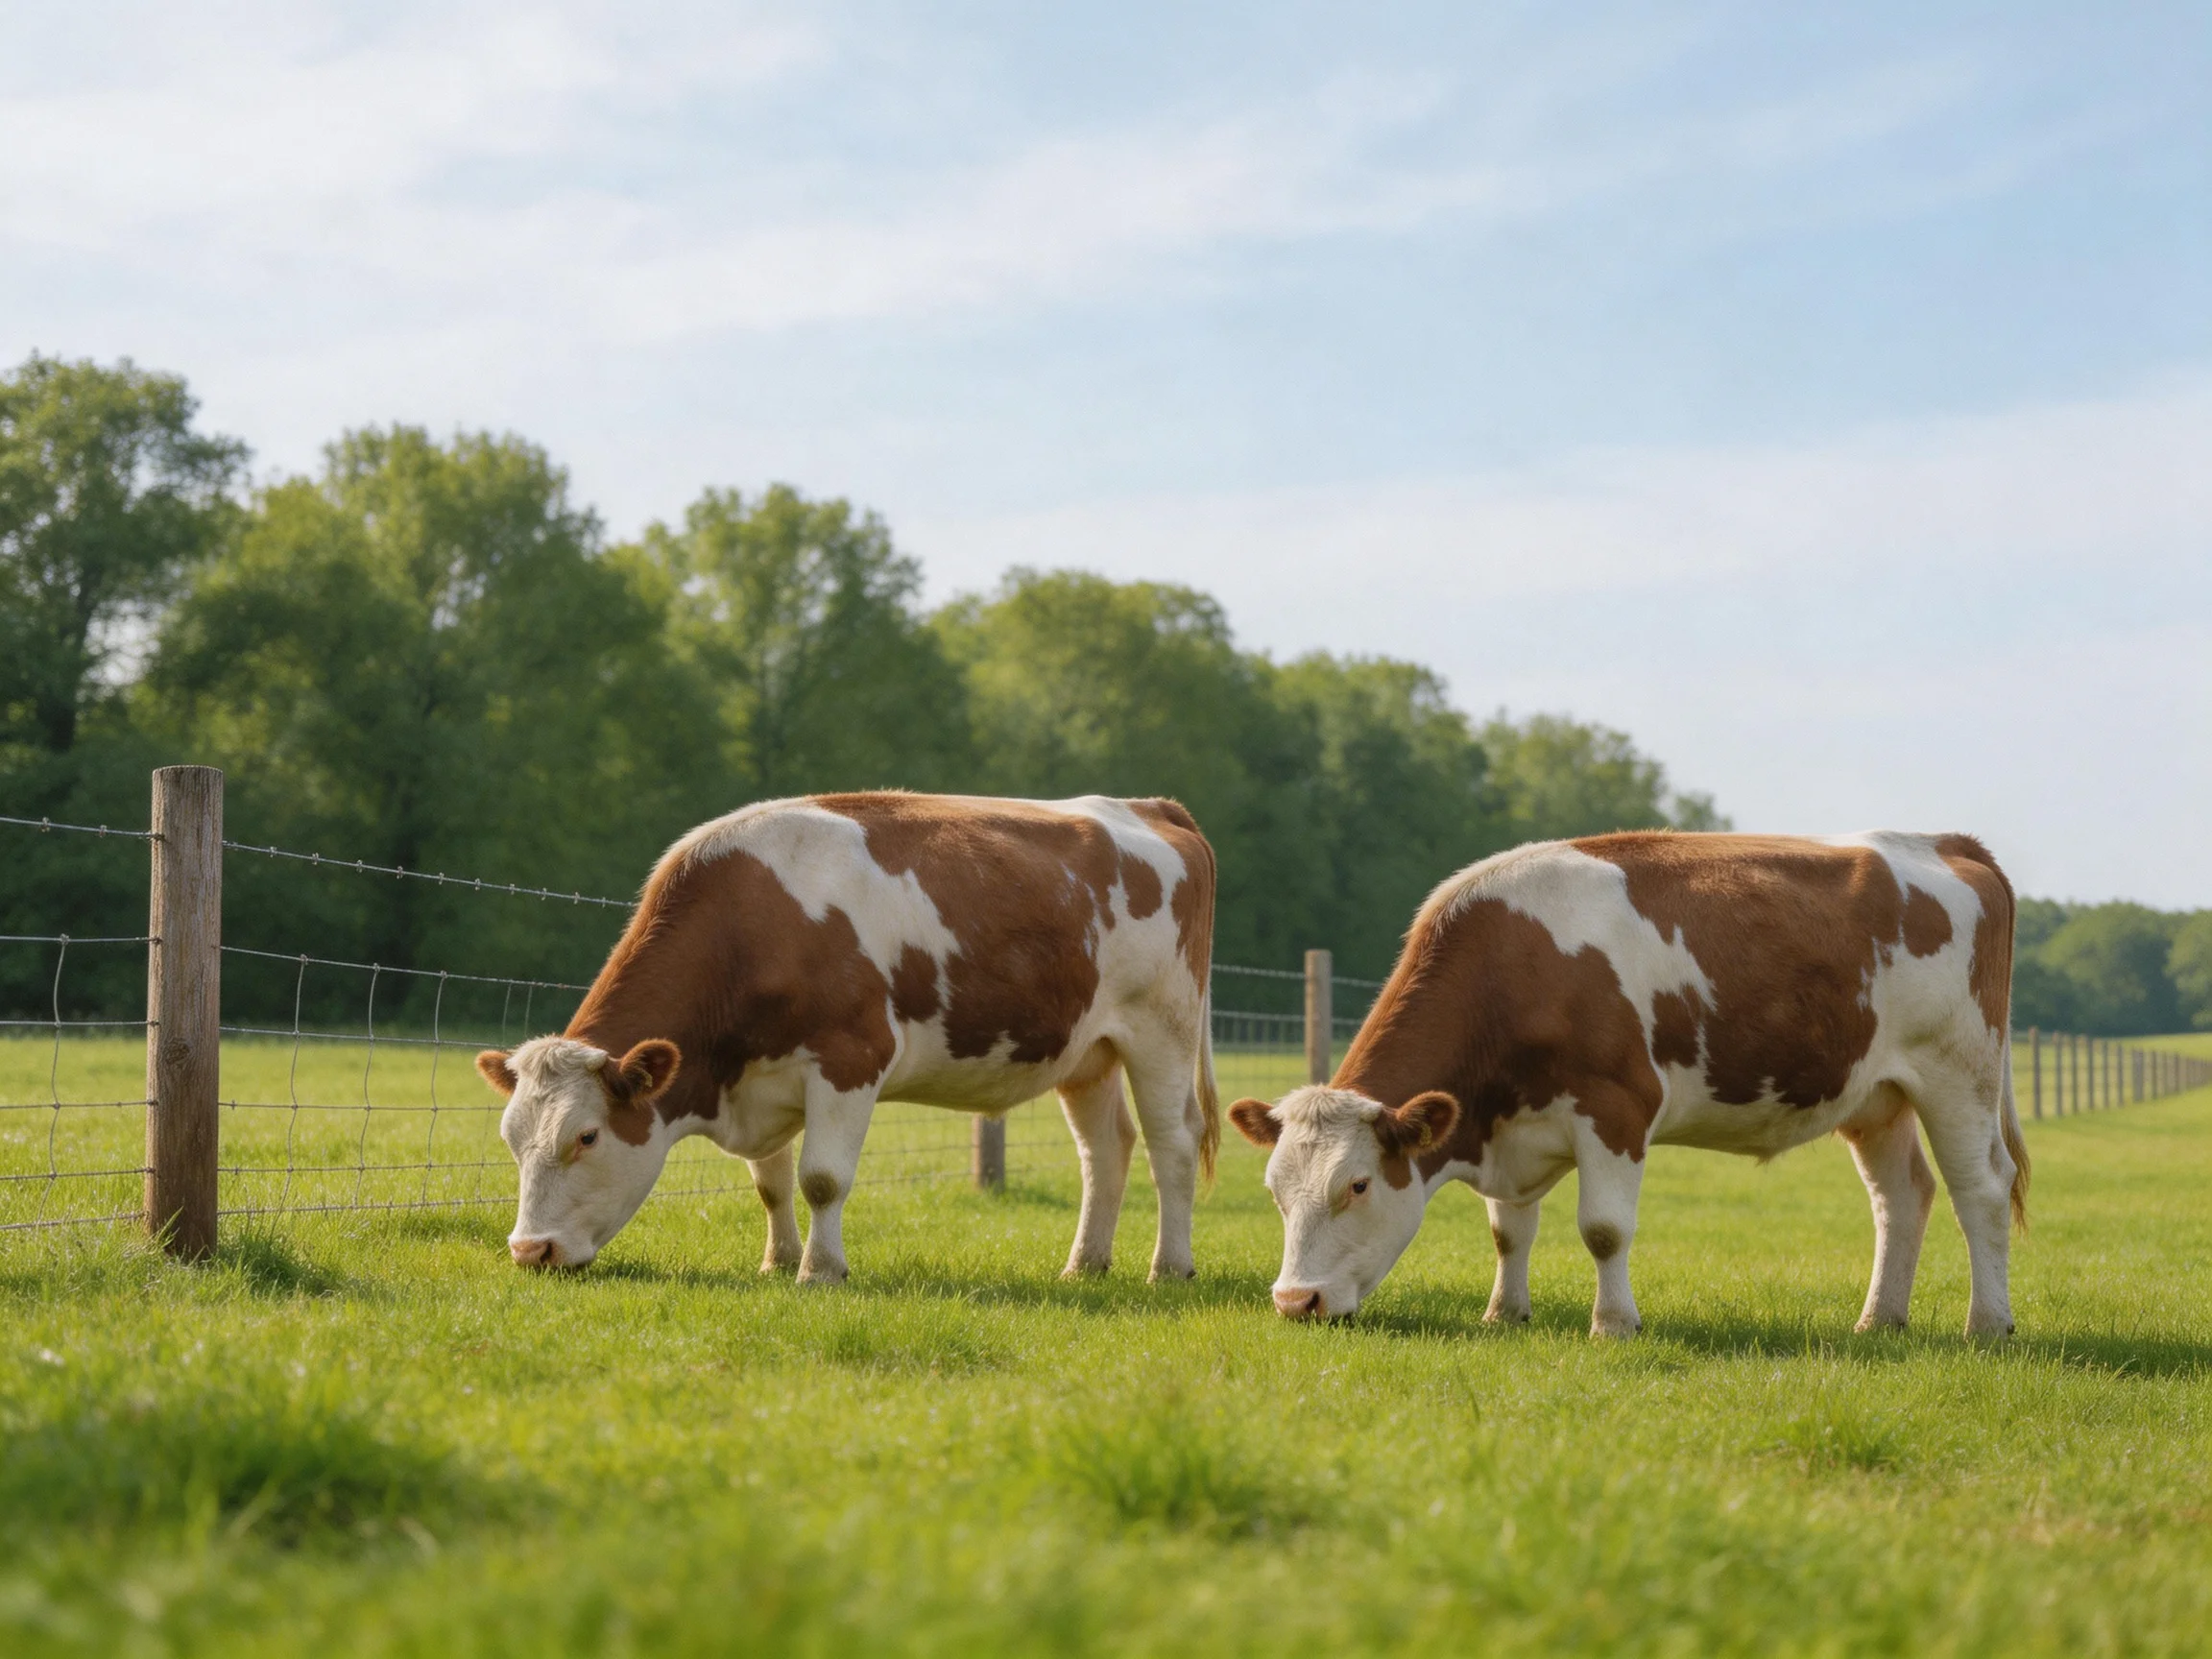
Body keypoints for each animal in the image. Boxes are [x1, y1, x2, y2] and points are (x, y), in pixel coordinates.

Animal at [476, 792, 1219, 1283]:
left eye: (586, 1137)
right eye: (510, 1139)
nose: (530, 1252)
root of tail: (1147, 806)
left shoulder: (849, 1061)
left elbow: (822, 1179)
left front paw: (820, 1271)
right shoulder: (759, 1078)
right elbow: (772, 1184)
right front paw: (778, 1262)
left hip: (1162, 1029)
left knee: (1173, 1144)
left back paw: (1169, 1267)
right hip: (1087, 1052)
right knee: (1106, 1149)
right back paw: (1085, 1265)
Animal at [1229, 831, 2028, 1339]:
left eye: (1358, 1185)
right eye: (1274, 1191)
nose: (1295, 1301)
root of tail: (1944, 842)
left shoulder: (1615, 1108)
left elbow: (1604, 1229)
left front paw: (1613, 1323)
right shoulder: (1508, 1127)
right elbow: (1508, 1230)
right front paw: (1504, 1313)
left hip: (1958, 1072)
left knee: (1981, 1189)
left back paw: (1988, 1324)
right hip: (1875, 1095)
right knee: (1902, 1196)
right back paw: (1878, 1321)